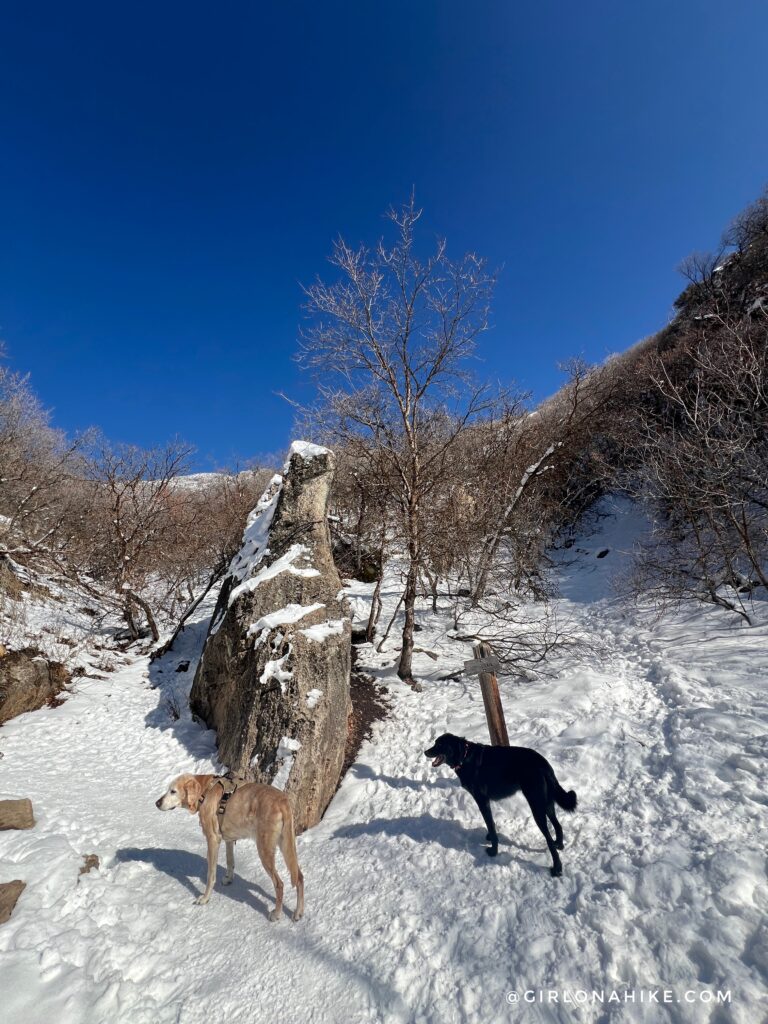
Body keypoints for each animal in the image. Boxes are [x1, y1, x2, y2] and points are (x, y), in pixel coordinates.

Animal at [155, 770, 303, 925]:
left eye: (173, 791)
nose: (157, 803)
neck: (206, 790)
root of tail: (282, 800)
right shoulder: (229, 840)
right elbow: (230, 861)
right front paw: (229, 879)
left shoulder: (213, 840)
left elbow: (210, 875)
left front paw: (205, 898)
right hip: (287, 846)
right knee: (299, 877)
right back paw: (298, 912)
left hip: (265, 850)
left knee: (279, 884)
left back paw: (277, 914)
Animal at [428, 733, 577, 876]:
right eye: (435, 743)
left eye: (440, 744)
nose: (425, 752)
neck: (464, 756)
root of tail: (544, 764)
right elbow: (491, 824)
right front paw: (490, 838)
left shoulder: (482, 800)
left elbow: (490, 824)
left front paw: (493, 851)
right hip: (546, 803)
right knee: (558, 825)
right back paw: (559, 845)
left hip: (537, 806)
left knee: (548, 839)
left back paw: (557, 869)